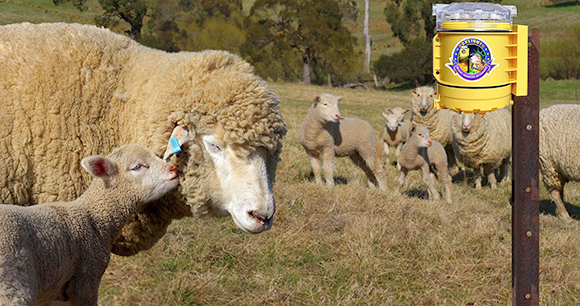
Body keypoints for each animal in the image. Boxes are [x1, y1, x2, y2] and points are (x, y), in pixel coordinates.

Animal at [0, 144, 179, 306]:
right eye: (137, 166)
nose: (174, 169)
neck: (93, 217)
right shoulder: (86, 280)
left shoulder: (54, 293)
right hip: (14, 285)